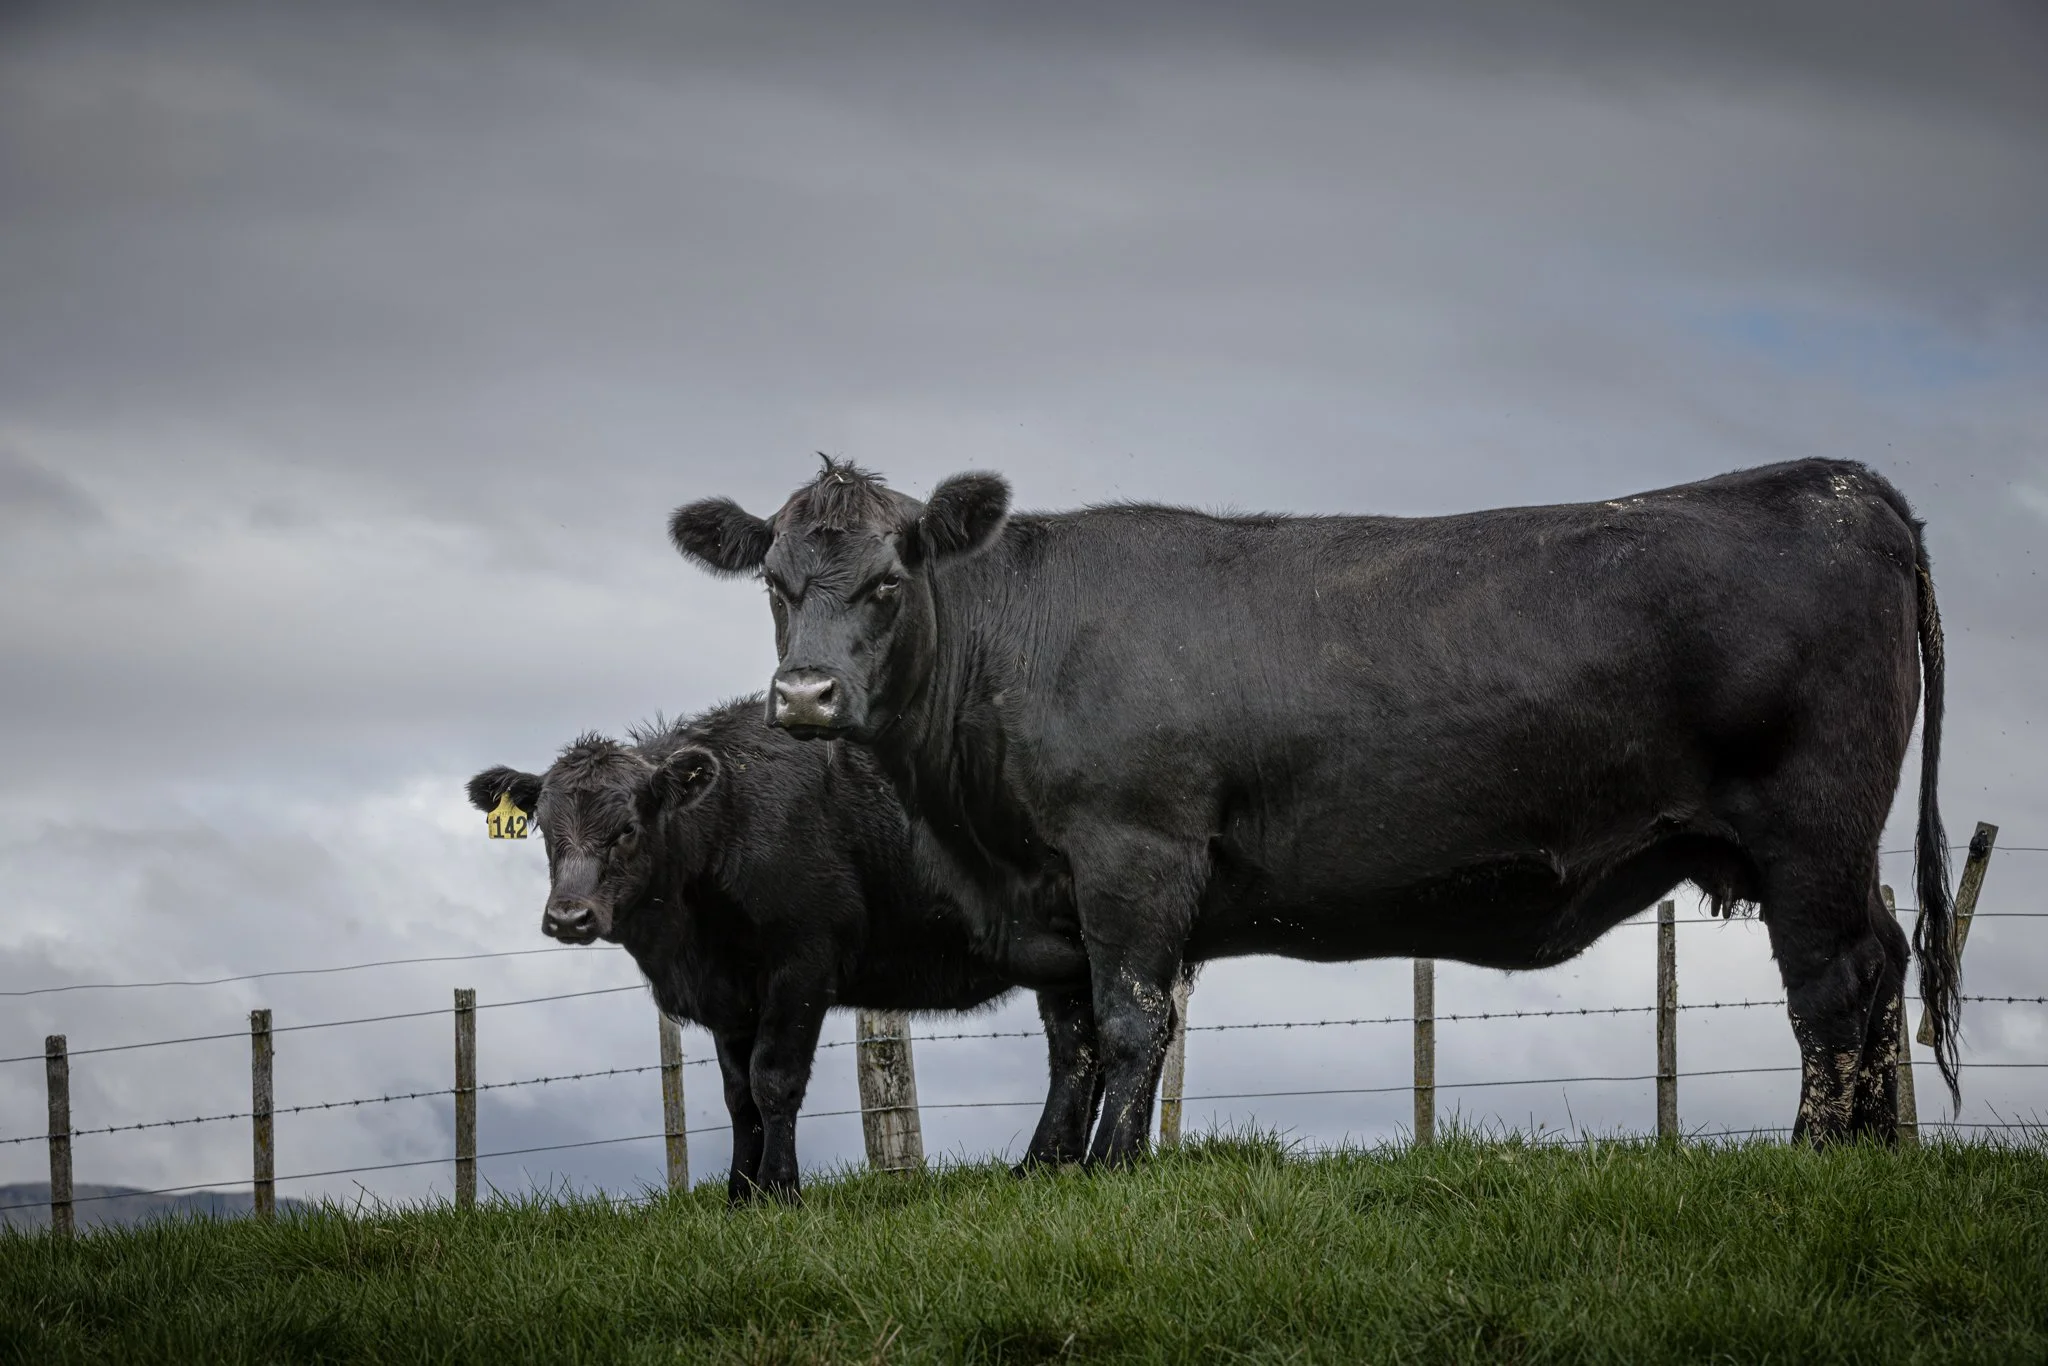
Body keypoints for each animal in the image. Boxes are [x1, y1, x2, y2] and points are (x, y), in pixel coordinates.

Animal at [466, 698, 1096, 1203]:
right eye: (545, 830)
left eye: (626, 829)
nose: (568, 916)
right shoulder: (729, 994)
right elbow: (738, 1096)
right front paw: (738, 1195)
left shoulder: (802, 964)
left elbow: (773, 1080)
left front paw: (778, 1191)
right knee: (1076, 1052)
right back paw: (1046, 1164)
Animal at [669, 456, 1961, 1166]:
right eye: (775, 584)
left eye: (890, 581)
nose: (803, 695)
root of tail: (1840, 486)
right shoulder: (1056, 887)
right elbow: (1072, 1036)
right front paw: (1043, 1174)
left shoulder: (1131, 853)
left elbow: (1132, 1023)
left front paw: (1111, 1174)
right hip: (1825, 845)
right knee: (1878, 967)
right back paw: (1868, 1156)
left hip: (1808, 829)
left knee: (1831, 987)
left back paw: (1809, 1160)